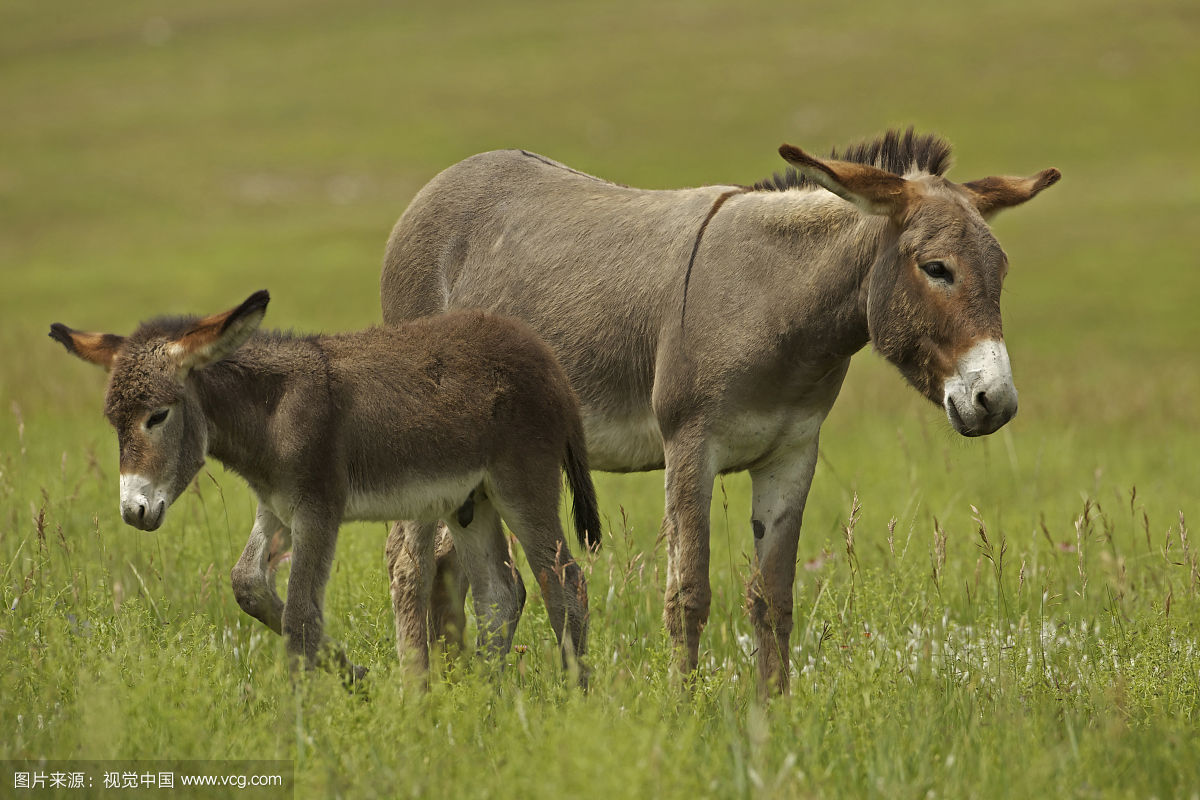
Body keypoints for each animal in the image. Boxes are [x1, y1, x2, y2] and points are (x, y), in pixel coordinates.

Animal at [51, 291, 600, 686]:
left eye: (158, 416)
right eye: (114, 423)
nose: (133, 510)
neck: (273, 412)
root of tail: (547, 360)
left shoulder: (318, 510)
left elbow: (300, 618)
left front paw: (298, 730)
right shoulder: (276, 508)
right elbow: (247, 584)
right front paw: (353, 672)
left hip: (522, 484)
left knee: (565, 580)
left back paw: (573, 700)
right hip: (471, 501)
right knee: (499, 596)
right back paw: (482, 702)